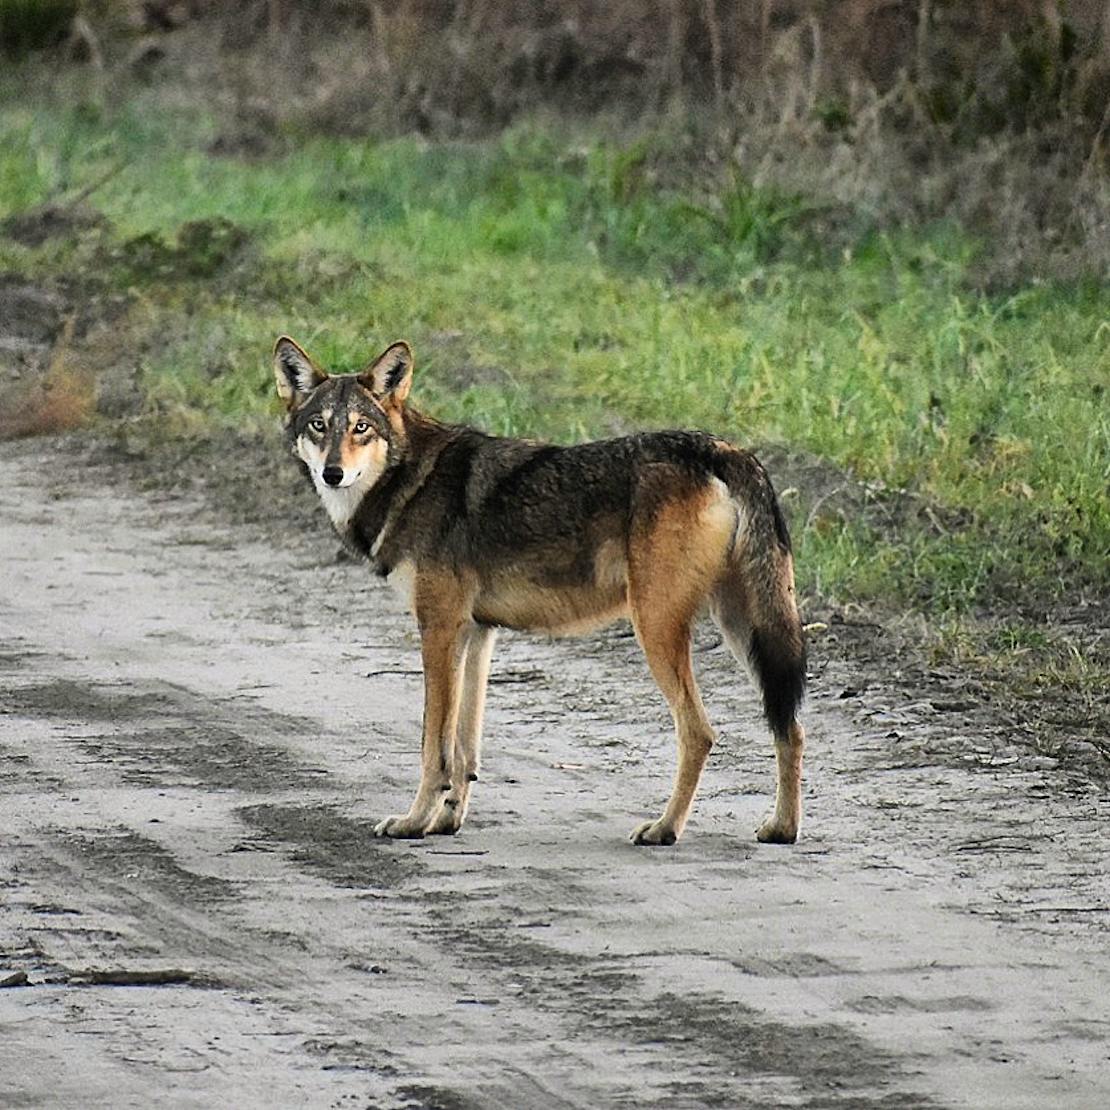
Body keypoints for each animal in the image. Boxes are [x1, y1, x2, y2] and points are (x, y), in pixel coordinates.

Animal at [274, 336, 807, 846]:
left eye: (361, 427)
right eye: (319, 426)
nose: (333, 473)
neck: (410, 480)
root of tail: (728, 451)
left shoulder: (438, 629)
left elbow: (434, 747)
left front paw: (413, 822)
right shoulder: (477, 633)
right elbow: (465, 748)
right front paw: (446, 821)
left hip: (657, 627)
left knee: (700, 732)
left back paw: (664, 829)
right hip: (743, 629)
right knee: (791, 726)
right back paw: (782, 828)